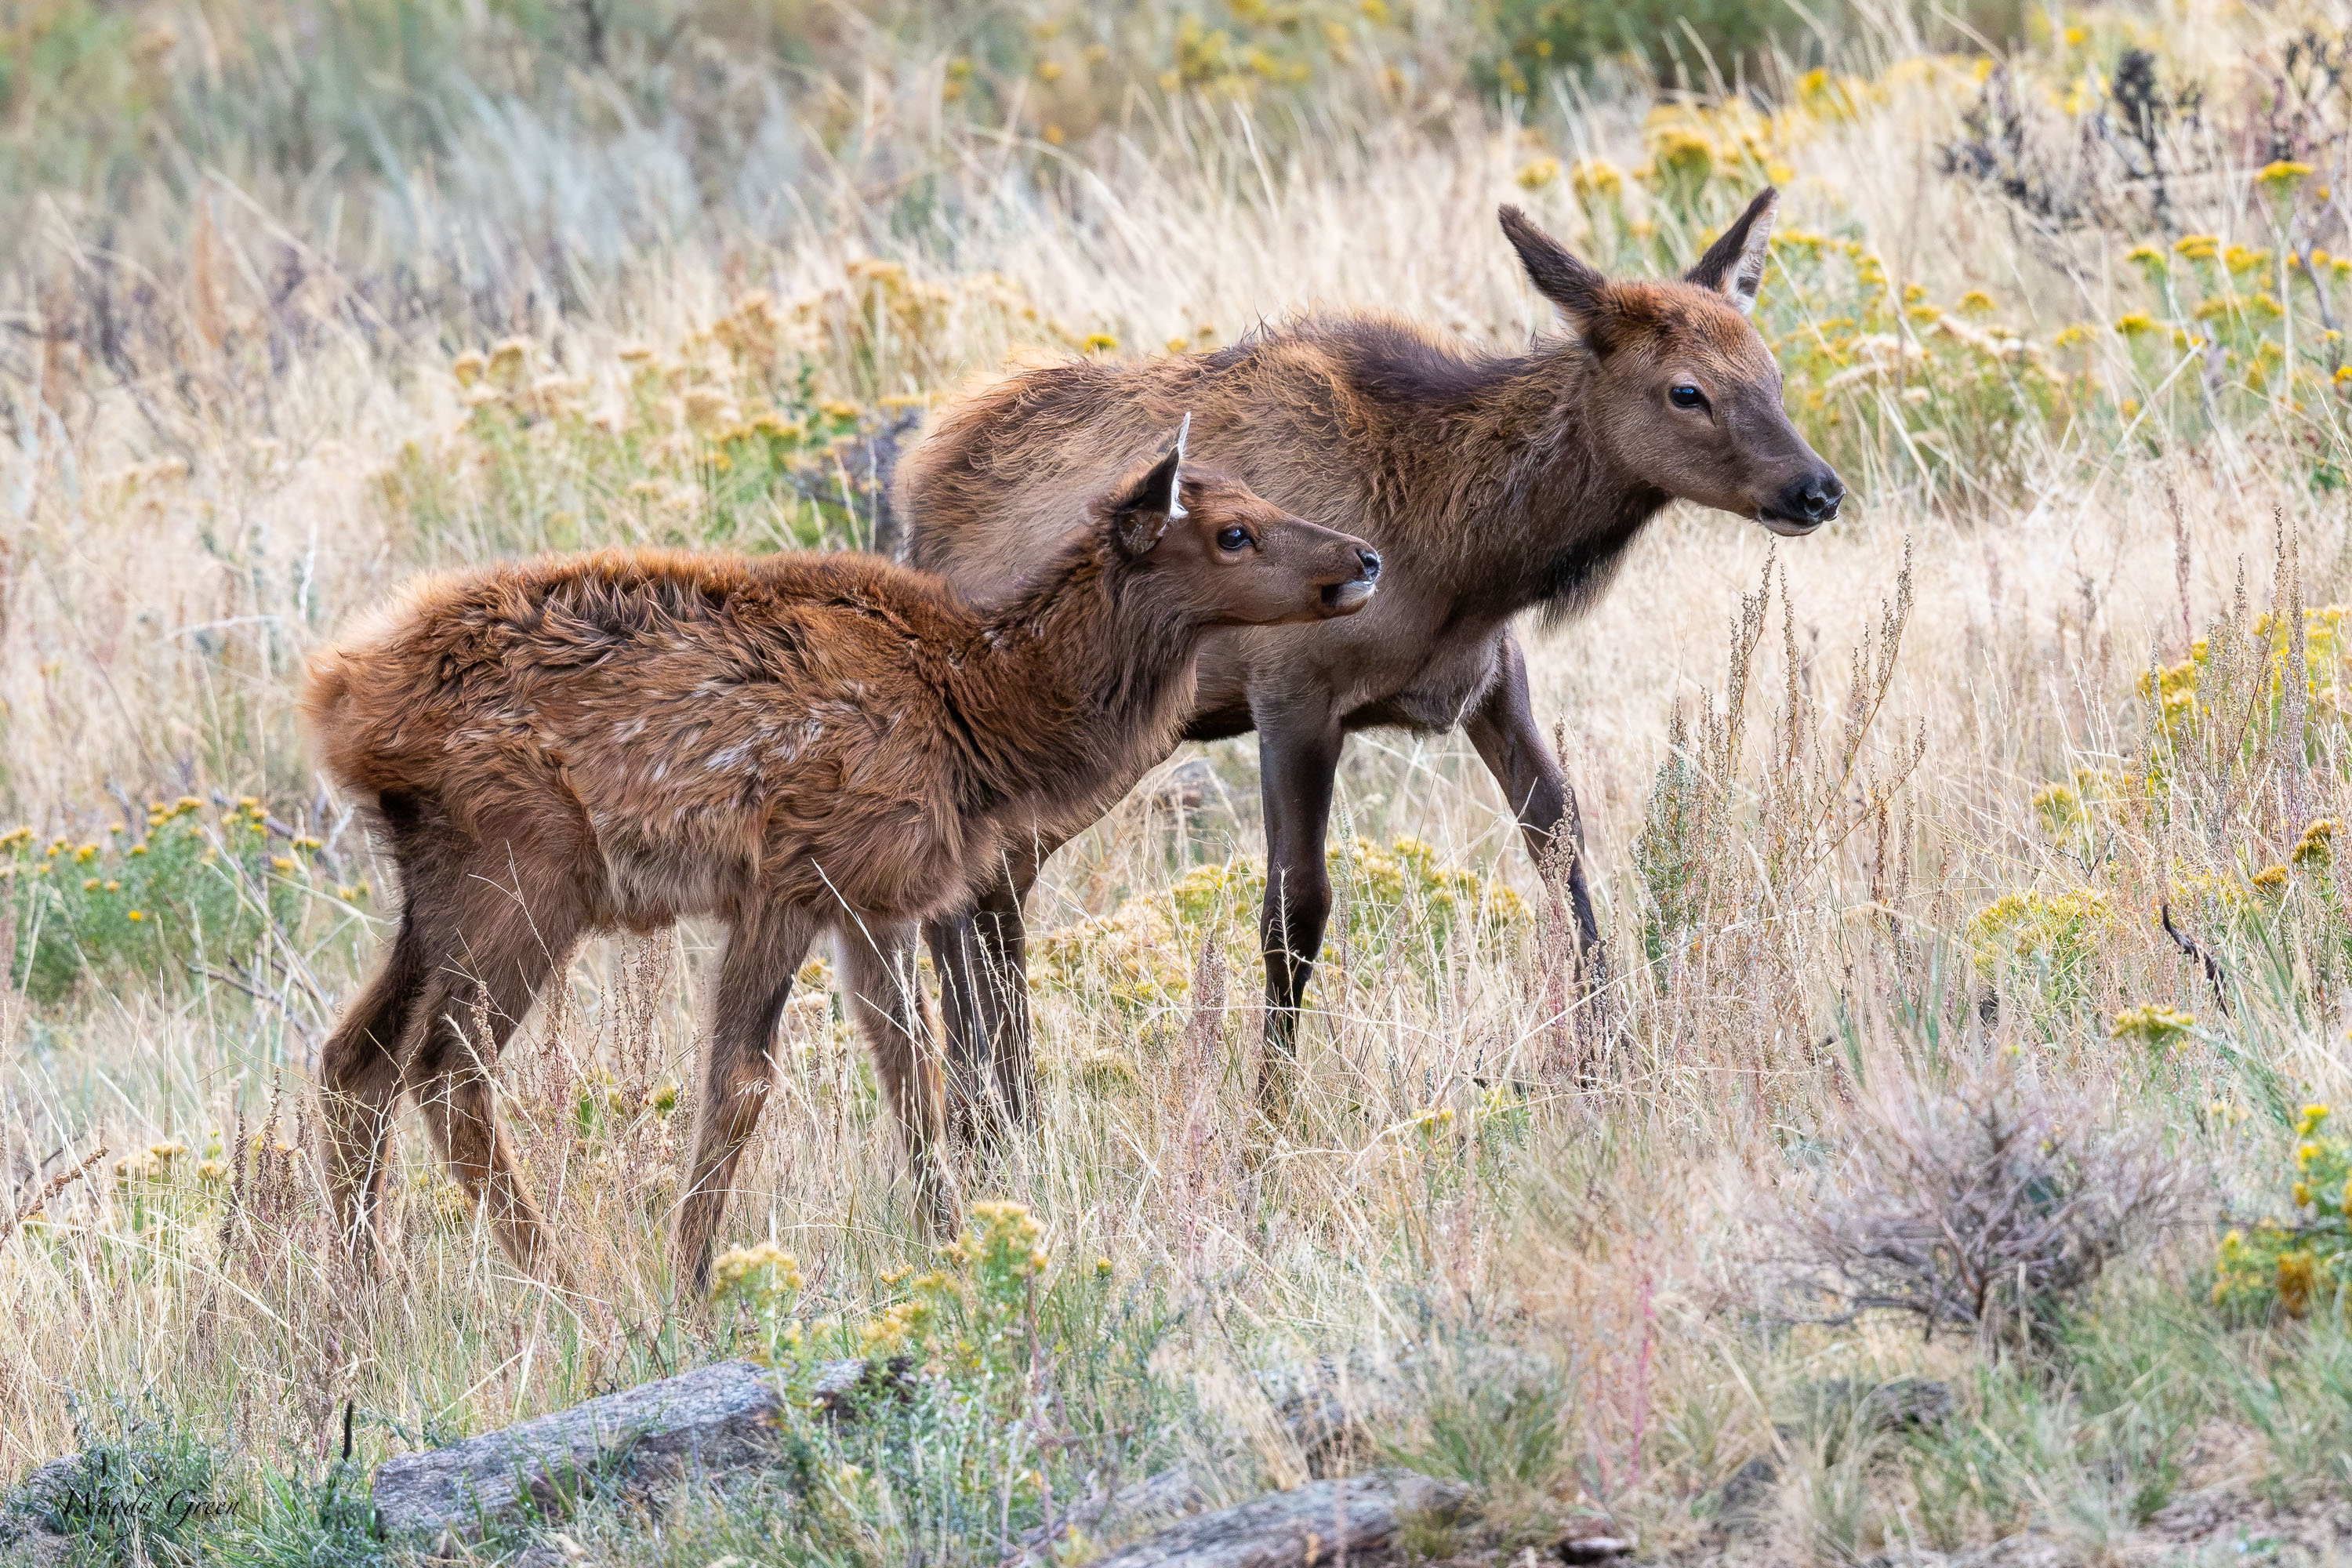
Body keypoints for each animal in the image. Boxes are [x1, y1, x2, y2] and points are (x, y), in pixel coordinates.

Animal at [302, 430, 1381, 1294]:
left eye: (1262, 498)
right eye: (1232, 532)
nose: (1365, 556)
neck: (987, 714)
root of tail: (339, 700)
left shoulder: (878, 902)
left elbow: (914, 1072)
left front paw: (953, 1245)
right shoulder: (789, 875)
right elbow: (741, 1080)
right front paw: (690, 1285)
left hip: (436, 884)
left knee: (355, 1057)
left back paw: (362, 1296)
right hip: (528, 865)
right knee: (445, 1064)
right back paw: (562, 1284)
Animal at [892, 186, 1843, 1128]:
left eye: (1771, 373)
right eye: (1687, 390)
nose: (1818, 489)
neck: (1461, 562)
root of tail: (916, 502)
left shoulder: (1492, 679)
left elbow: (1563, 847)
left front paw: (1615, 1064)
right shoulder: (1292, 694)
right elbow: (1294, 909)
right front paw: (1269, 1116)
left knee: (995, 886)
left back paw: (998, 1113)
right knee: (971, 892)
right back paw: (988, 1111)